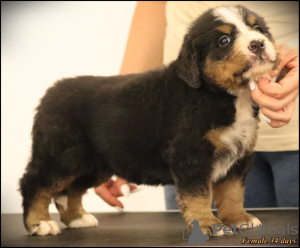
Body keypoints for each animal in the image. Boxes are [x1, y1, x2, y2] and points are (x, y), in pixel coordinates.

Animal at [19, 4, 280, 235]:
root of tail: (50, 93)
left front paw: (240, 219)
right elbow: (199, 195)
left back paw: (77, 218)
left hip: (92, 164)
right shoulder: (191, 156)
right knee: (34, 184)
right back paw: (40, 223)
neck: (222, 93)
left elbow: (232, 192)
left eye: (258, 28)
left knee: (70, 190)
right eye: (224, 41)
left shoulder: (239, 154)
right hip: (60, 156)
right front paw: (208, 225)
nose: (258, 43)